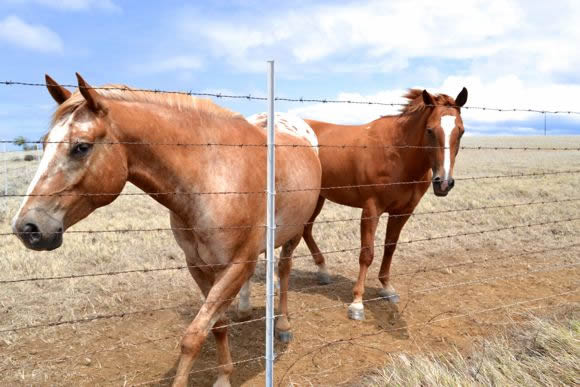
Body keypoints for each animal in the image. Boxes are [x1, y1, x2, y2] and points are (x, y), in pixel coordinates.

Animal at [11, 74, 322, 386]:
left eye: (81, 147)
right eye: (43, 143)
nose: (27, 227)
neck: (214, 177)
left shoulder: (236, 265)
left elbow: (194, 336)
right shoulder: (198, 265)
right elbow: (217, 326)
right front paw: (223, 375)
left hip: (294, 233)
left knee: (283, 271)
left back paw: (282, 325)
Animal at [304, 88, 466, 322]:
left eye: (461, 131)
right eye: (430, 130)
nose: (443, 182)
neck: (397, 153)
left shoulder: (402, 212)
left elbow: (390, 247)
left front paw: (387, 288)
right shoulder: (371, 209)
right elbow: (367, 253)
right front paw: (357, 303)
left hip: (318, 197)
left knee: (305, 230)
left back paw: (323, 271)